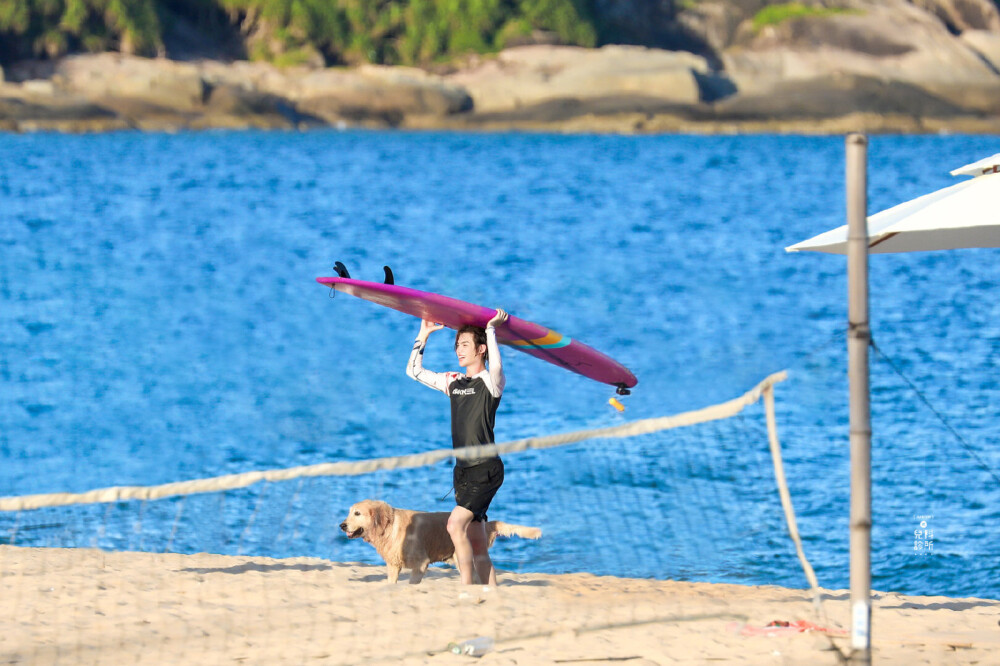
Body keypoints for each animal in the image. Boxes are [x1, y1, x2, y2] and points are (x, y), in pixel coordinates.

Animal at [340, 498, 544, 580]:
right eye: (349, 512)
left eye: (357, 513)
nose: (342, 525)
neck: (389, 527)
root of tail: (484, 523)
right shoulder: (393, 565)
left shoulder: (420, 563)